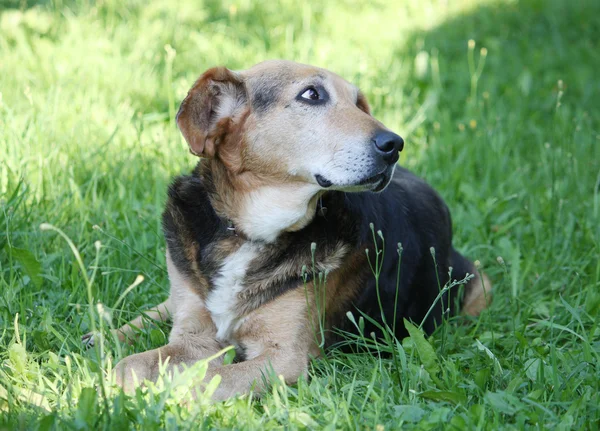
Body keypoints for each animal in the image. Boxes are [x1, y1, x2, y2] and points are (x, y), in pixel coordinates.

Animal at [90, 60, 492, 402]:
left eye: (359, 104)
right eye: (311, 94)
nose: (394, 145)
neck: (249, 233)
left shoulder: (284, 357)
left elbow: (207, 380)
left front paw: (166, 396)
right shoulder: (194, 334)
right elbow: (128, 365)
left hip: (478, 286)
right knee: (158, 309)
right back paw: (103, 332)